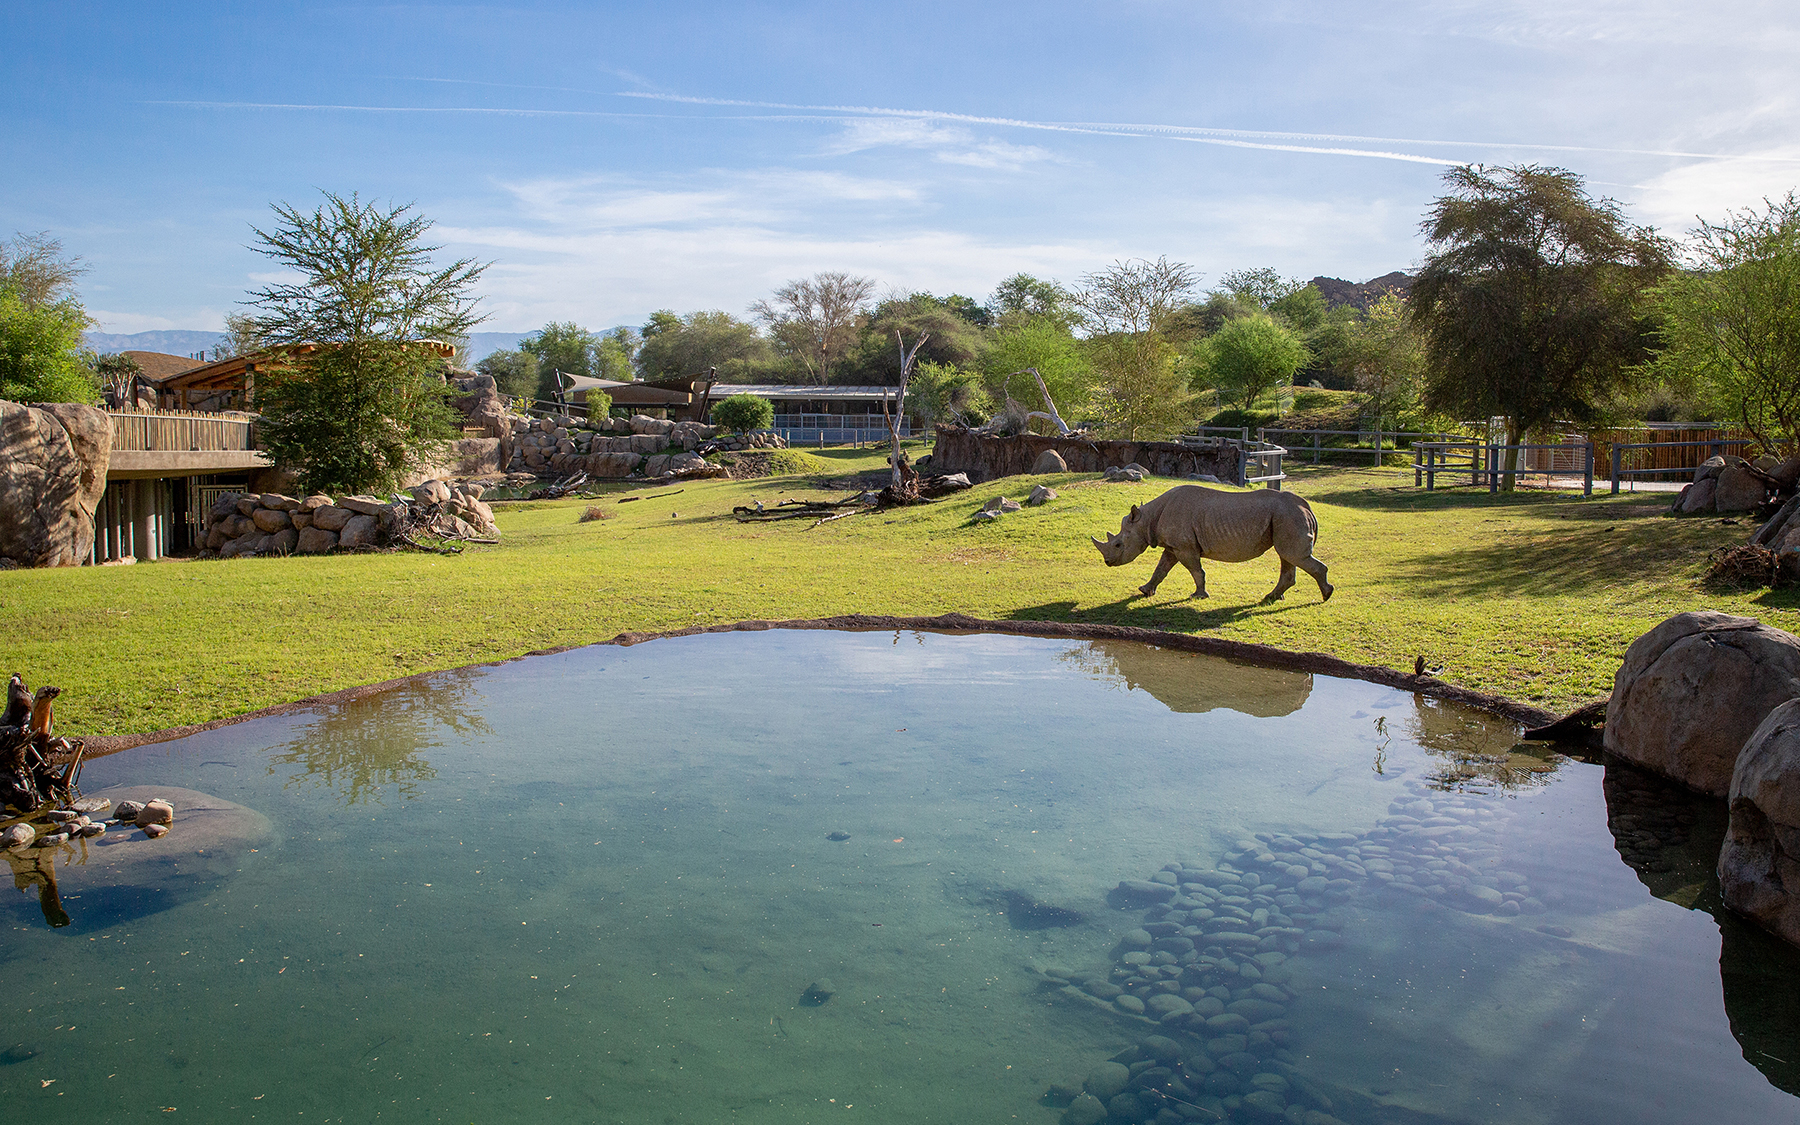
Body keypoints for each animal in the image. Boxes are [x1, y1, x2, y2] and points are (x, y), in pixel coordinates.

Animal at [1092, 485, 1333, 603]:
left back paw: (1326, 596)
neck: (1146, 519)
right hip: (1287, 516)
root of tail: (1308, 507)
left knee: (1292, 555)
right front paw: (1144, 591)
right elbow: (1161, 569)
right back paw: (1272, 597)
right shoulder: (1173, 546)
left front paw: (1198, 596)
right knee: (1287, 557)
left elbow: (1196, 570)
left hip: (1289, 516)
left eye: (1118, 545)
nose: (1107, 562)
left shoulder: (1185, 547)